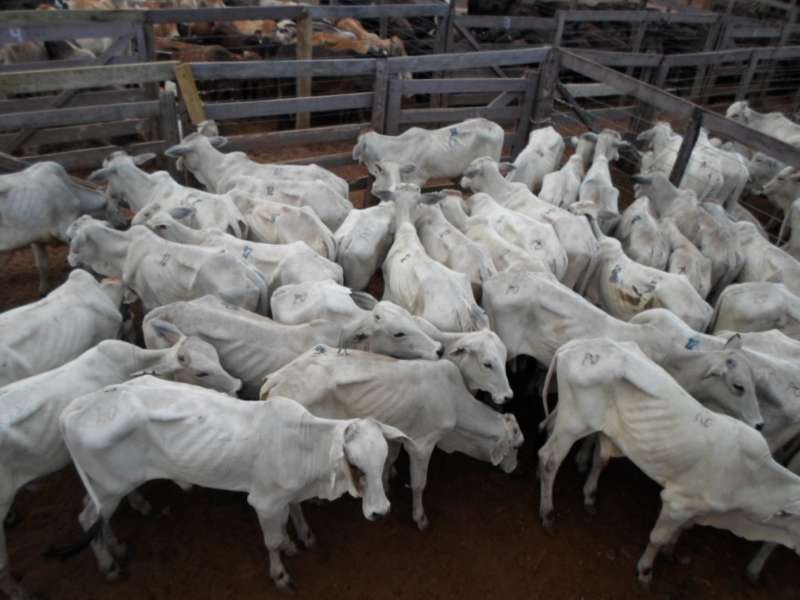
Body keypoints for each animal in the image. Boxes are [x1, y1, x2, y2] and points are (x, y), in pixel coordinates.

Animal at [0, 162, 124, 292]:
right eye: (117, 209)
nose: (125, 223)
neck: (73, 193)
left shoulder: (37, 240)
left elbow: (42, 265)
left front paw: (43, 289)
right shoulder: (65, 231)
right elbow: (85, 262)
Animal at [60, 380, 407, 590]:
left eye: (383, 461)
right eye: (357, 466)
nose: (381, 512)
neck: (304, 446)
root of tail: (73, 410)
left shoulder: (284, 496)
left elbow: (291, 517)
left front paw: (299, 539)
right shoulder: (264, 502)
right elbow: (271, 541)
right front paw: (280, 573)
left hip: (106, 489)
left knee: (95, 517)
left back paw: (116, 546)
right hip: (109, 489)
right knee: (86, 519)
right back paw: (108, 563)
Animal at [259, 345, 524, 530]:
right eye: (516, 446)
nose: (514, 469)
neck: (455, 402)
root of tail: (273, 382)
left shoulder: (398, 435)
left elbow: (389, 459)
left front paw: (386, 482)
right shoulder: (422, 445)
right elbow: (418, 484)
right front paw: (420, 518)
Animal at [538, 337, 799, 585]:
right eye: (738, 386)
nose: (760, 424)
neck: (750, 477)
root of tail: (575, 346)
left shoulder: (696, 509)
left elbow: (680, 531)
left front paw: (671, 552)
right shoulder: (676, 503)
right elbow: (657, 538)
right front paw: (645, 571)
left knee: (546, 437)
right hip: (574, 424)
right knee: (549, 458)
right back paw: (547, 514)